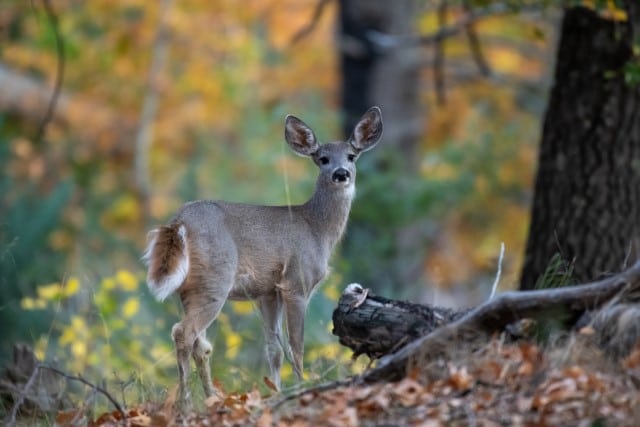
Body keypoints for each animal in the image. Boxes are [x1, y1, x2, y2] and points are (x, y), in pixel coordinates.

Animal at [143, 105, 382, 410]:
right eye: (322, 159)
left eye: (352, 156)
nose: (341, 173)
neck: (316, 229)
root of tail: (178, 222)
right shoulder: (296, 282)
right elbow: (296, 345)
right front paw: (300, 388)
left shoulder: (267, 292)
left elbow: (274, 349)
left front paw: (276, 392)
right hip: (214, 280)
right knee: (183, 333)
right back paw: (186, 404)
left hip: (185, 290)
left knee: (201, 344)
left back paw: (211, 399)